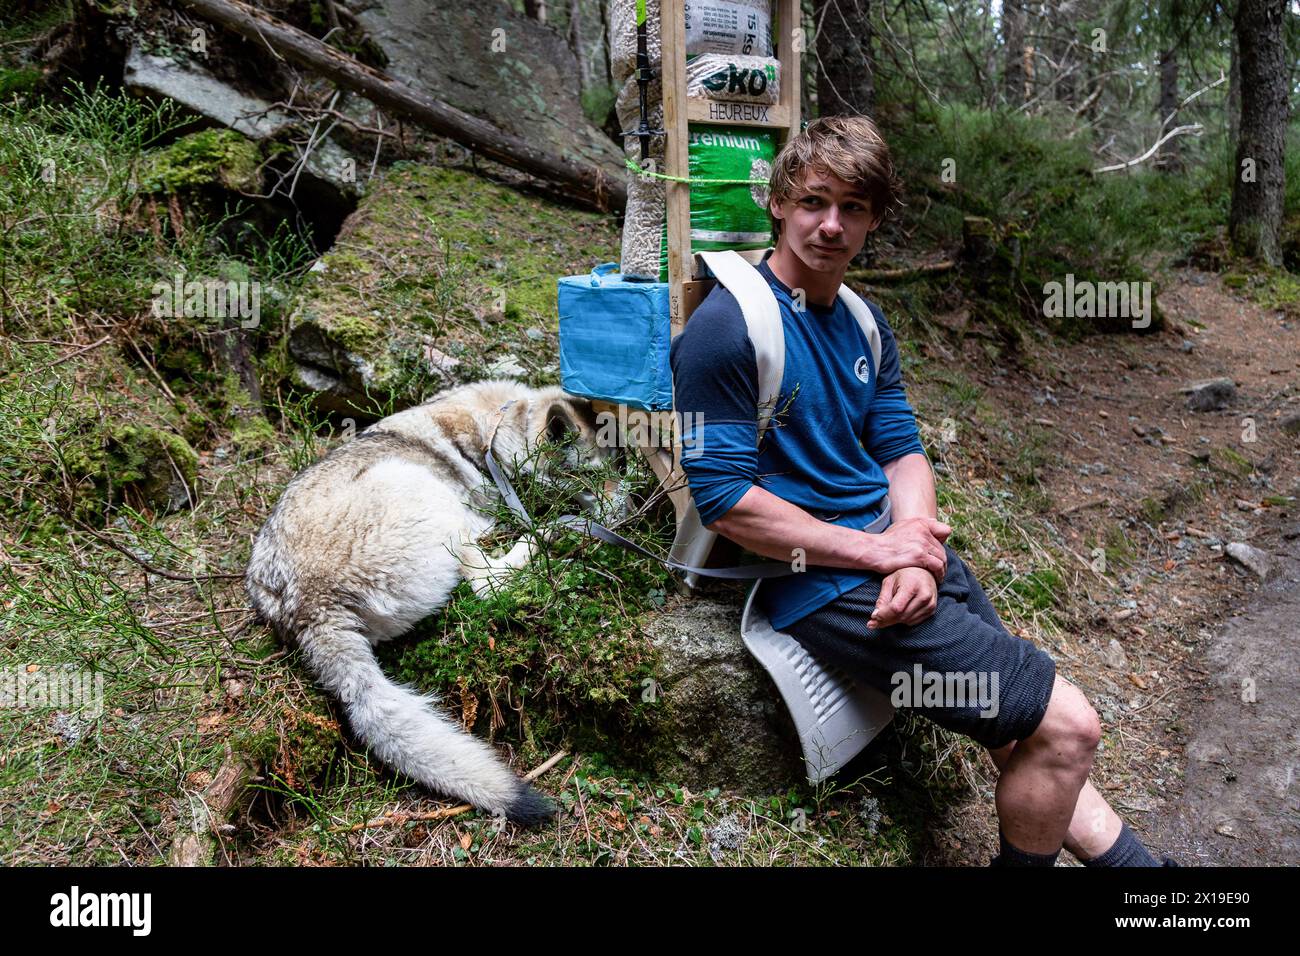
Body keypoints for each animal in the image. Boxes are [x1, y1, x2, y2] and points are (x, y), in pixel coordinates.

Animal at [245, 377, 611, 827]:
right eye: (595, 476)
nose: (630, 509)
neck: (497, 427)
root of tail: (310, 605)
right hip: (424, 491)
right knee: (488, 583)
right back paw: (550, 533)